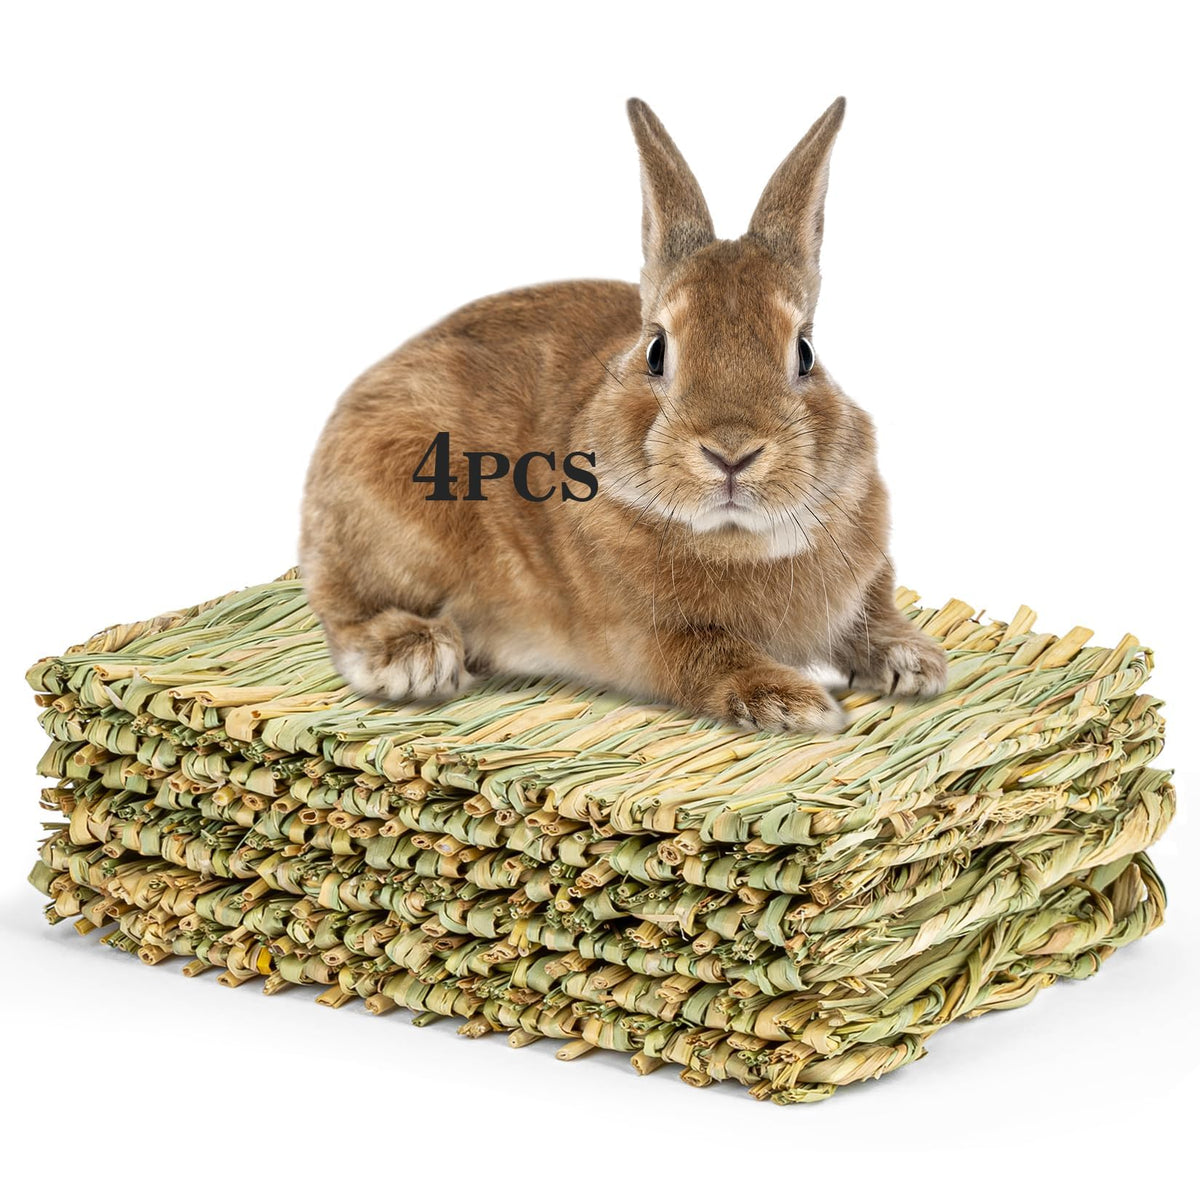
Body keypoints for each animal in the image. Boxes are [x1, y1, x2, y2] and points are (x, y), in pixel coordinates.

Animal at [300, 97, 947, 733]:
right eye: (656, 350)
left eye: (806, 352)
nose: (731, 452)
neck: (736, 540)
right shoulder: (647, 637)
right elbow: (710, 658)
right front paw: (797, 704)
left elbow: (873, 615)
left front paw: (916, 662)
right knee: (341, 607)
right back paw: (413, 657)